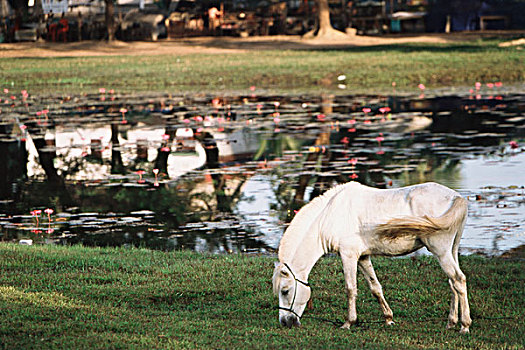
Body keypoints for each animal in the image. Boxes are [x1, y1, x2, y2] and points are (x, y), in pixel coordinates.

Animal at [270, 183, 470, 334]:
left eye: (285, 291)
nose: (285, 322)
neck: (329, 216)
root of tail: (456, 197)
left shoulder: (348, 256)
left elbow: (351, 289)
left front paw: (349, 322)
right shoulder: (363, 257)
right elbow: (375, 287)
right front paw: (388, 319)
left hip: (441, 251)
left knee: (458, 280)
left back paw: (465, 326)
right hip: (451, 250)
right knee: (453, 284)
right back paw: (451, 322)